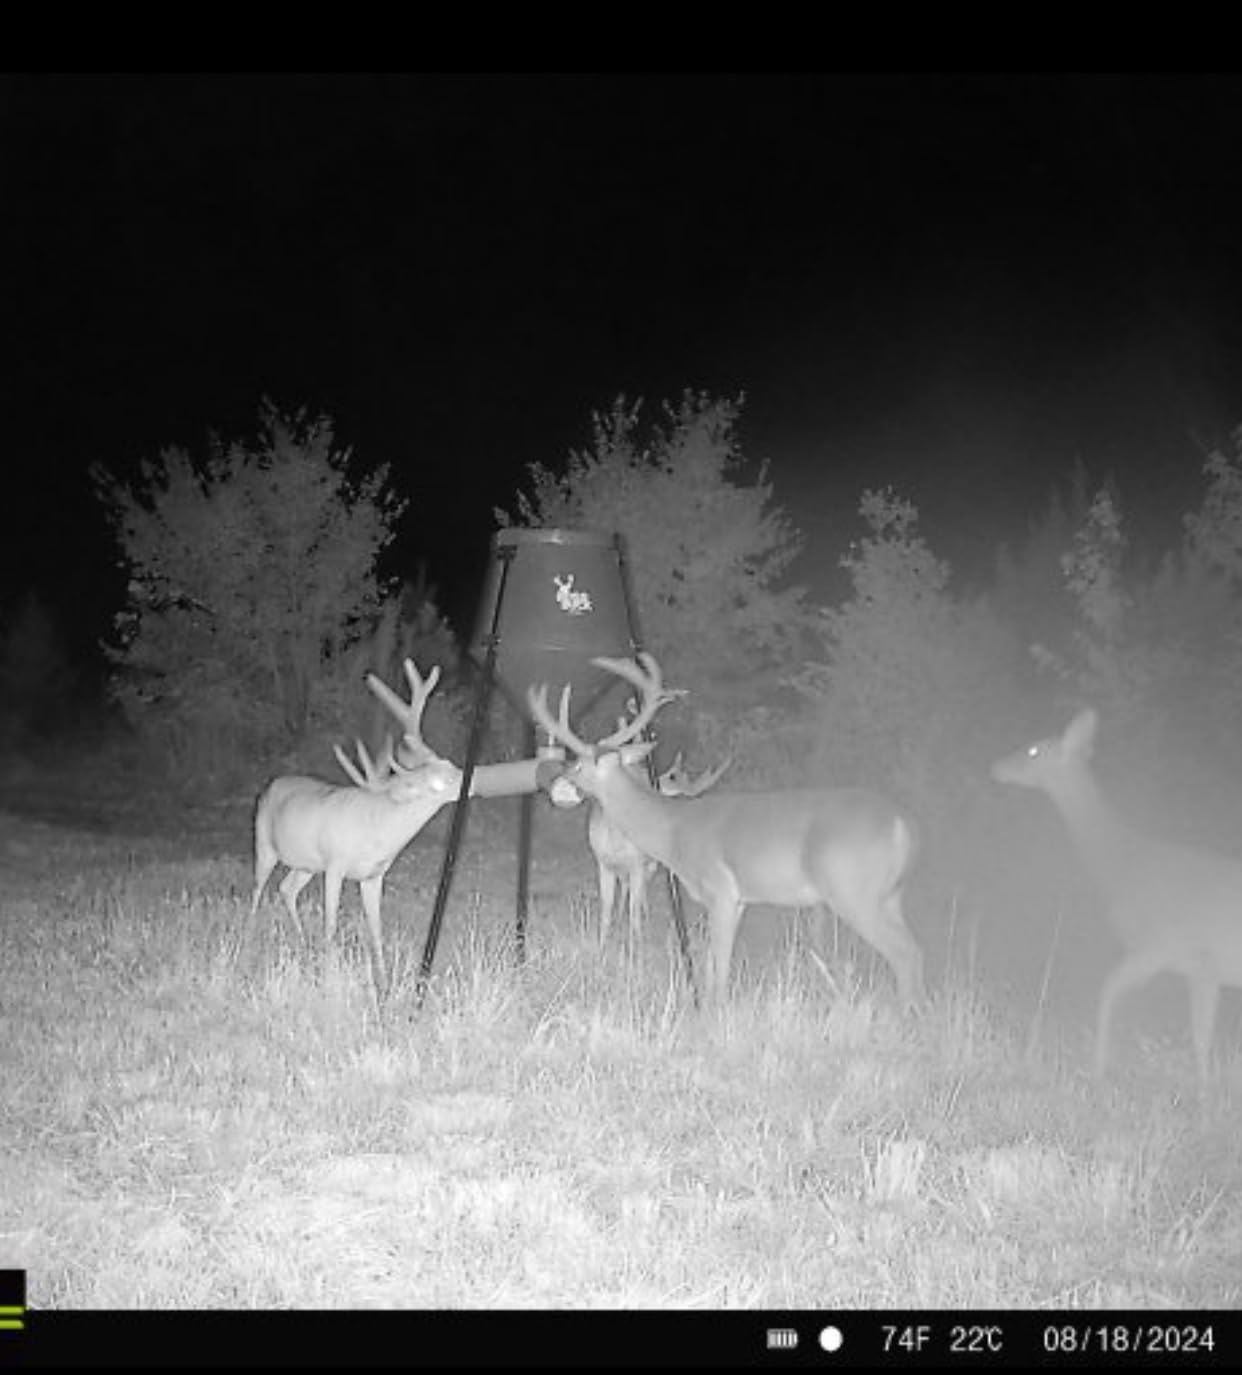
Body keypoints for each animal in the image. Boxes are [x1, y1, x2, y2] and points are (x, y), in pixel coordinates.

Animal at [250, 660, 461, 993]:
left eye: (450, 763)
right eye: (437, 782)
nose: (467, 776)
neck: (379, 833)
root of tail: (271, 785)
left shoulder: (373, 875)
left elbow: (376, 928)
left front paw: (384, 984)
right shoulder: (335, 865)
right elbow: (331, 924)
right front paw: (329, 979)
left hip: (306, 864)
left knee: (286, 889)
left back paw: (302, 944)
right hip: (264, 844)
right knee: (258, 889)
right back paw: (248, 938)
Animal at [528, 653, 923, 1007]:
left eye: (577, 766)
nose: (557, 784)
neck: (674, 830)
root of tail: (900, 824)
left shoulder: (719, 890)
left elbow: (718, 964)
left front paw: (712, 1015)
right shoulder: (738, 900)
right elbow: (716, 964)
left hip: (852, 891)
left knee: (904, 954)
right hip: (891, 896)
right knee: (915, 948)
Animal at [992, 707, 1242, 1084]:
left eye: (1033, 750)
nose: (996, 766)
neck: (1122, 864)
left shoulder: (1161, 946)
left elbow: (1108, 992)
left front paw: (1098, 1068)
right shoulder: (1197, 966)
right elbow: (1199, 1035)